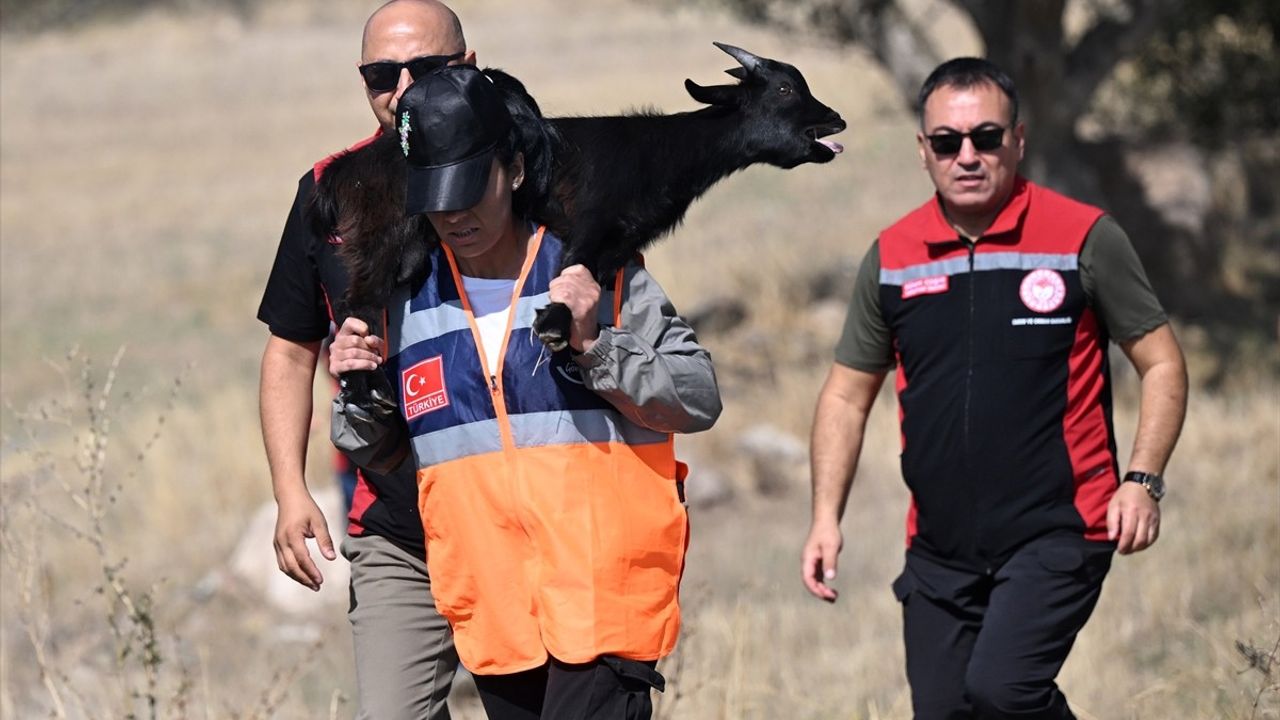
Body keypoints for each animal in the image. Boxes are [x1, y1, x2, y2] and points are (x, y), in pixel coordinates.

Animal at [316, 44, 844, 412]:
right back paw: (369, 390)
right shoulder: (592, 221)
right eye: (784, 90)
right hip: (382, 235)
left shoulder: (622, 243)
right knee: (356, 304)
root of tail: (347, 169)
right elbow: (572, 270)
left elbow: (590, 280)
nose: (835, 119)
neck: (661, 153)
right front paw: (551, 326)